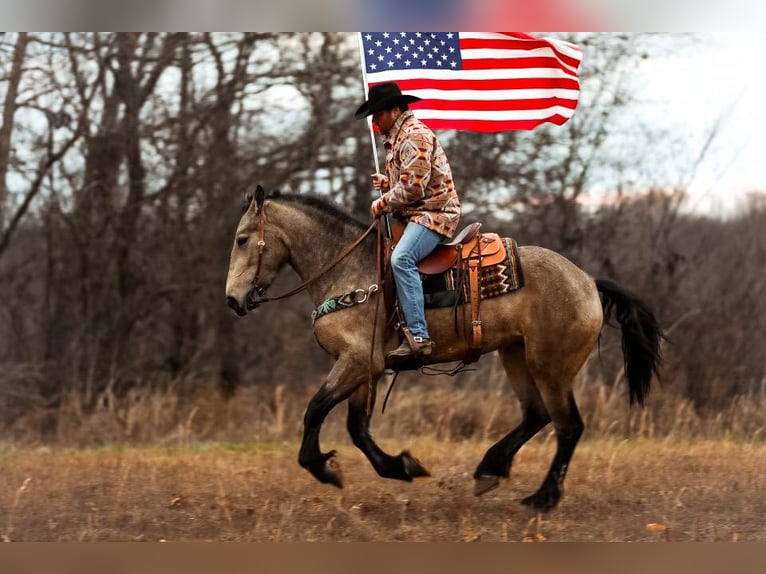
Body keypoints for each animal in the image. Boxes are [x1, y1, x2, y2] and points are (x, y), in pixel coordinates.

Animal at [225, 188, 664, 512]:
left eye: (242, 239)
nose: (232, 300)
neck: (351, 273)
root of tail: (587, 281)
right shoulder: (366, 368)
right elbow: (357, 428)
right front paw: (402, 466)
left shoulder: (356, 362)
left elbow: (316, 410)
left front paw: (324, 468)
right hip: (515, 355)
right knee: (536, 415)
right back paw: (490, 470)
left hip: (550, 366)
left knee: (568, 425)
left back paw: (541, 499)